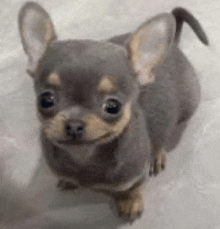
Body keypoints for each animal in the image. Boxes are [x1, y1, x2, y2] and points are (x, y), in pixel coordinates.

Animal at [17, 1, 208, 222]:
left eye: (113, 106)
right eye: (45, 100)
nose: (74, 124)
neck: (84, 156)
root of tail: (174, 47)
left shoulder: (135, 175)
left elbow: (131, 189)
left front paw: (129, 203)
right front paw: (69, 180)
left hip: (188, 105)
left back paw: (157, 155)